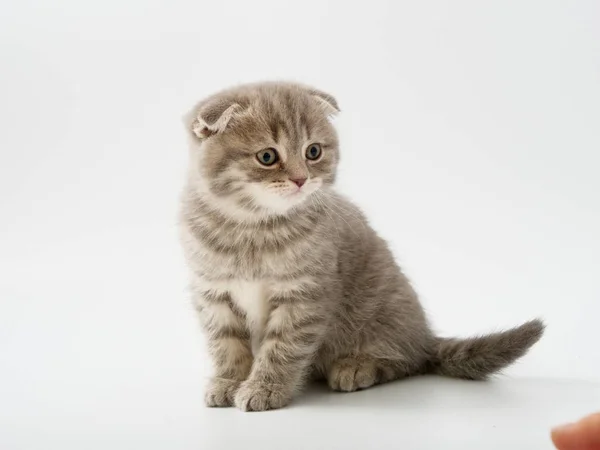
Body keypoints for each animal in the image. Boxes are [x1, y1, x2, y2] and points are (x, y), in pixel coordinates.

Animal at [178, 80, 544, 412]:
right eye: (267, 156)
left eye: (313, 151)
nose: (301, 179)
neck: (252, 227)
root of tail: (424, 335)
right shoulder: (213, 294)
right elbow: (225, 344)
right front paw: (228, 381)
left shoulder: (304, 296)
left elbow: (283, 347)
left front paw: (265, 388)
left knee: (405, 359)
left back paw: (357, 366)